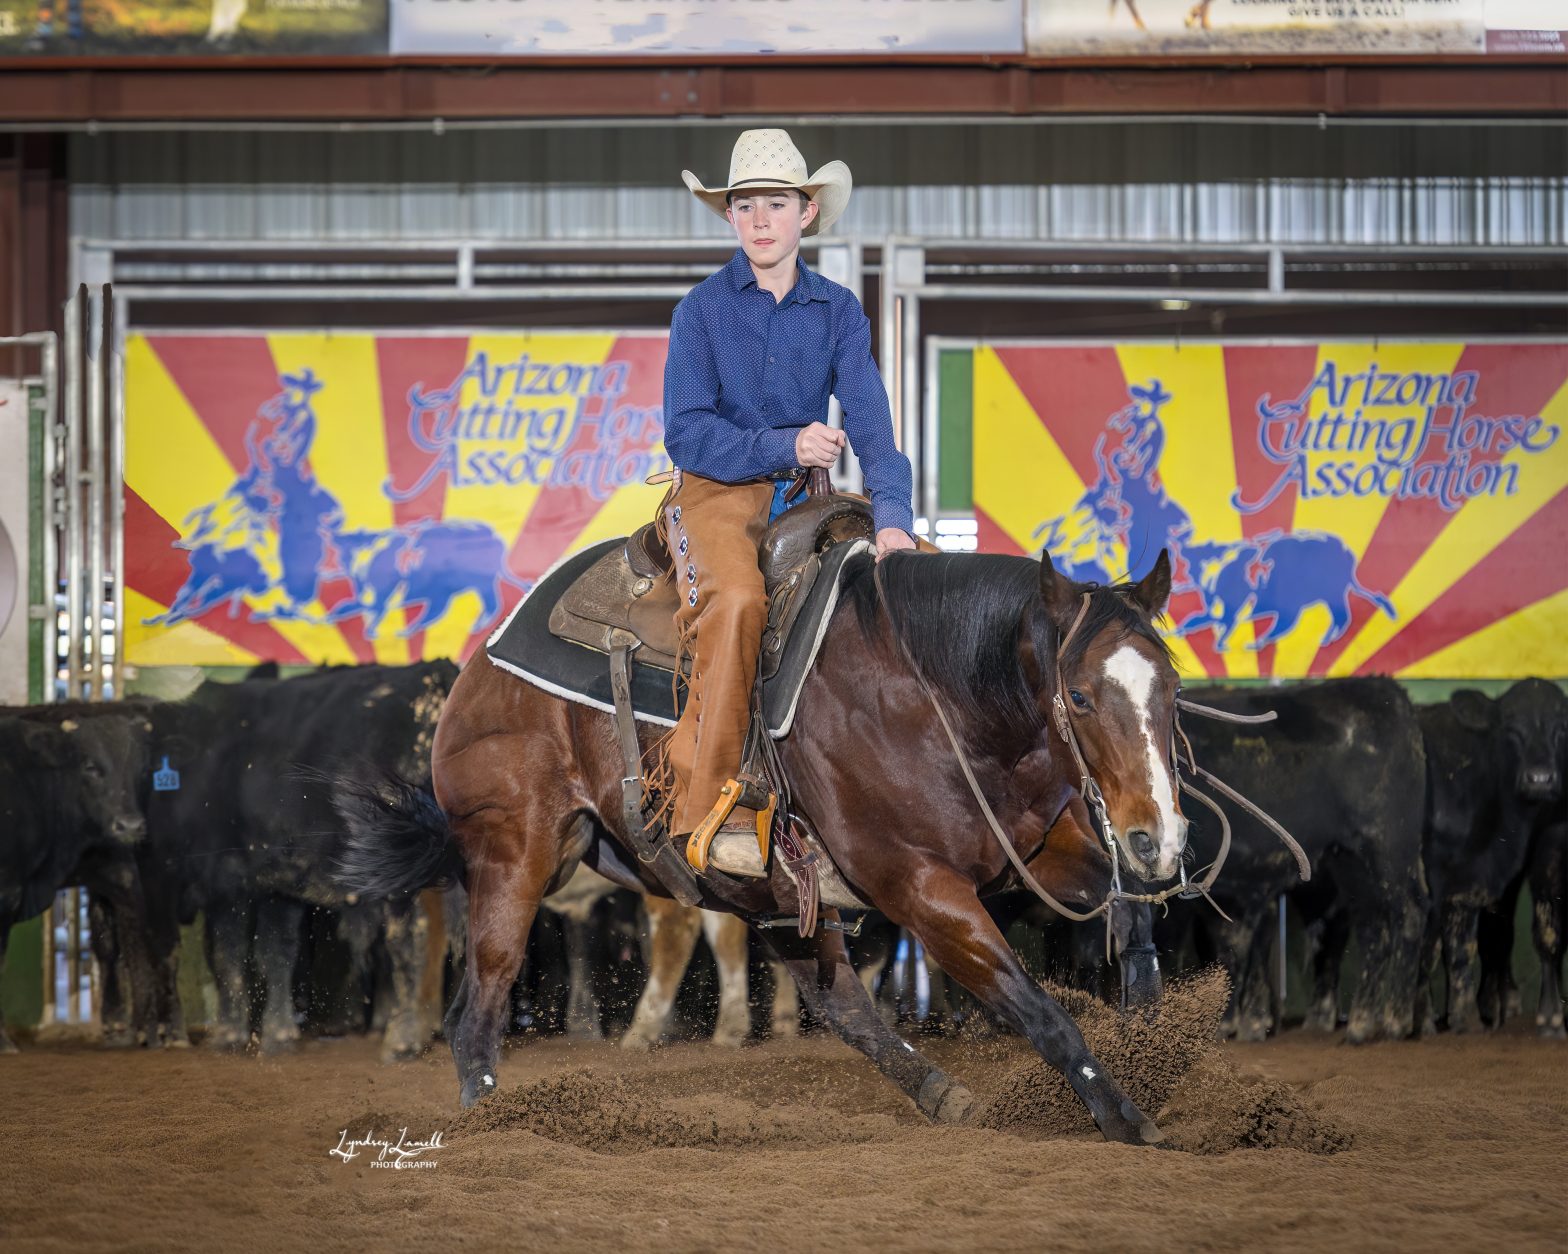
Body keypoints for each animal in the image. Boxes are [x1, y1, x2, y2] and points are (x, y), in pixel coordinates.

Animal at [137, 664, 457, 1059]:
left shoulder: (227, 881)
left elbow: (227, 954)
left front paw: (228, 1036)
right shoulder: (280, 883)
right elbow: (277, 952)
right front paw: (278, 1035)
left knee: (410, 940)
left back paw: (403, 1040)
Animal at [346, 542, 1310, 1147]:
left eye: (1171, 685)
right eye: (1077, 695)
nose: (1161, 833)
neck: (934, 694)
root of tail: (479, 664)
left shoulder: (1034, 852)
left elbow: (1125, 913)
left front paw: (1149, 1026)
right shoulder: (920, 886)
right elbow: (1037, 1008)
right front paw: (1126, 1117)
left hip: (766, 897)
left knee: (841, 1002)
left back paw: (942, 1093)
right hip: (513, 854)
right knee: (478, 1007)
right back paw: (492, 1122)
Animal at [1172, 680, 1430, 1040]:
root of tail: (1383, 689)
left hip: (1390, 845)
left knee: (1409, 913)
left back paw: (1396, 1019)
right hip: (1350, 861)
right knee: (1372, 926)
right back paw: (1361, 1022)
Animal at [1423, 680, 1568, 1034]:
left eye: (1562, 726)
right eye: (1511, 728)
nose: (1540, 778)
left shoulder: (1550, 843)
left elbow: (1547, 931)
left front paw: (1551, 1015)